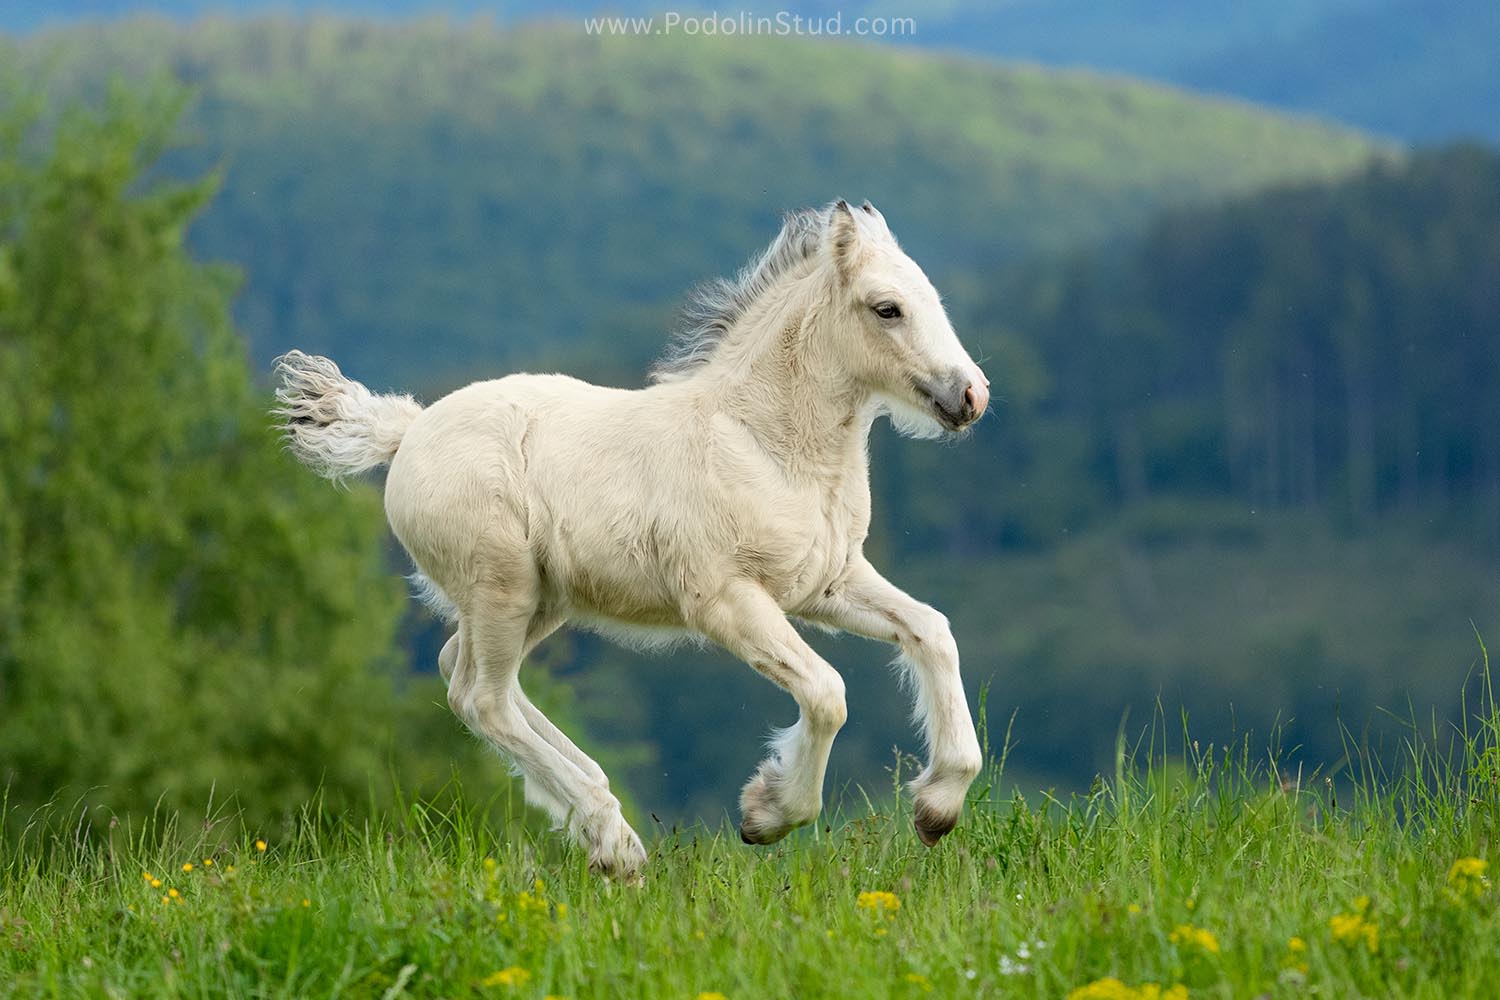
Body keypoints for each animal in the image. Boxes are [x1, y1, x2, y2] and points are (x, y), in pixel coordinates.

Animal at [276, 200, 990, 875]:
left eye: (932, 297)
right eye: (887, 308)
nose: (971, 396)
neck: (764, 444)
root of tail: (407, 432)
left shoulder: (826, 584)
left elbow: (933, 631)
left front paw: (936, 808)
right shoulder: (725, 600)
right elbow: (826, 692)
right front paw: (767, 814)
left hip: (542, 600)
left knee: (464, 673)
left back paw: (596, 820)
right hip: (503, 585)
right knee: (483, 699)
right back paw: (617, 847)